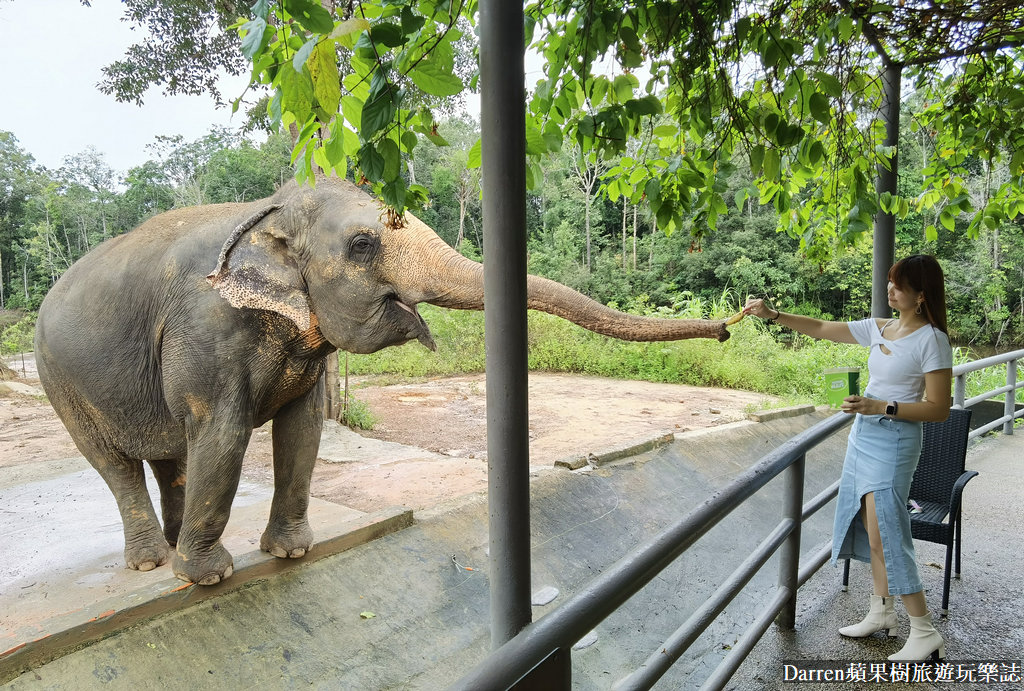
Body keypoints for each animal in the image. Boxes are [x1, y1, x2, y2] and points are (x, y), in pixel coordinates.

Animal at [36, 176, 733, 585]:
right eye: (364, 244)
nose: (732, 324)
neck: (267, 210)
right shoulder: (207, 328)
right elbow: (224, 432)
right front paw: (209, 577)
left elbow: (302, 430)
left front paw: (291, 555)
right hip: (58, 380)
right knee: (117, 463)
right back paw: (156, 562)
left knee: (170, 456)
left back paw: (172, 545)